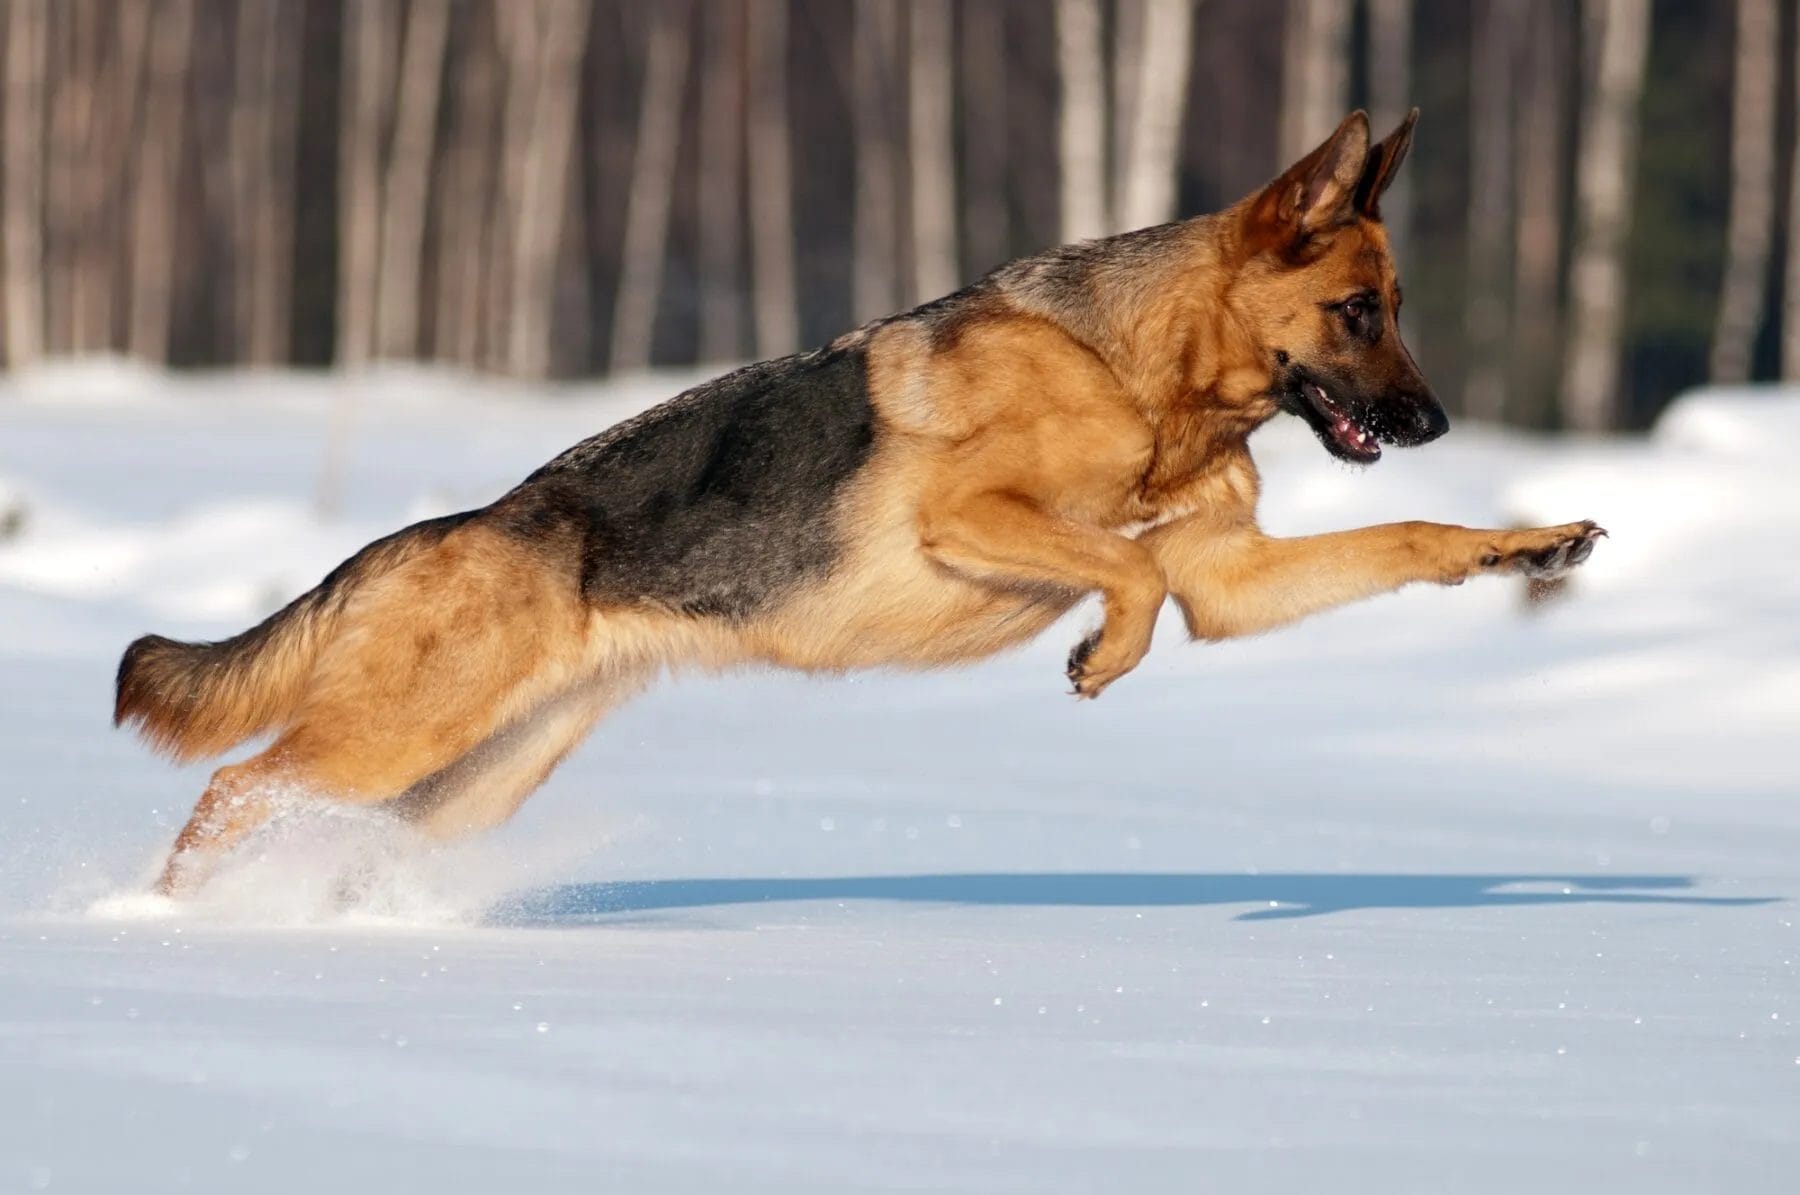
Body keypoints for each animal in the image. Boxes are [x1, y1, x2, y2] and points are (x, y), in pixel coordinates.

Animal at [116, 114, 1605, 896]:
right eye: (1359, 310)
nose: (1436, 425)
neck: (1142, 374)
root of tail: (442, 530)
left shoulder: (1234, 581)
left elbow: (1399, 540)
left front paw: (1530, 542)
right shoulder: (974, 515)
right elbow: (1130, 572)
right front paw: (1104, 654)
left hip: (472, 775)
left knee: (297, 818)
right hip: (399, 738)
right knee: (234, 790)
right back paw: (160, 932)